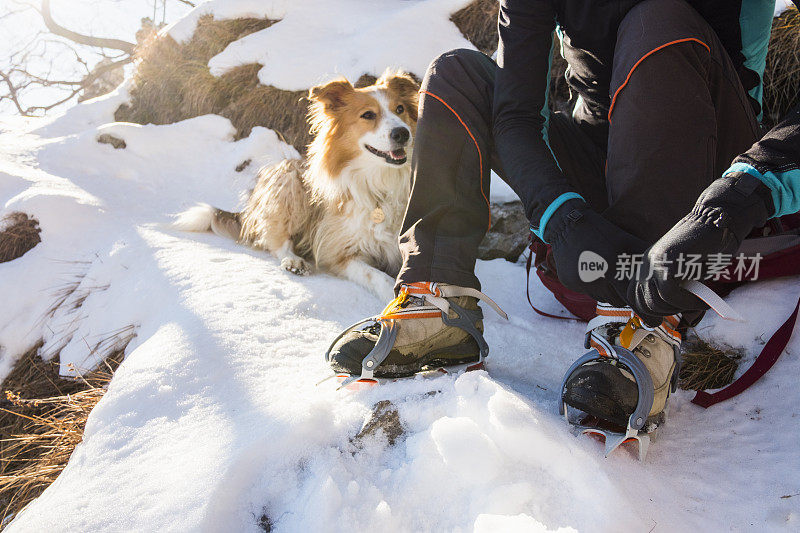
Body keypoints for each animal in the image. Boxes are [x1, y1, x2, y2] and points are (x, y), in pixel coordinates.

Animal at [173, 69, 418, 300]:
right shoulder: (338, 252)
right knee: (275, 240)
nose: (402, 133)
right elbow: (378, 276)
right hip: (288, 176)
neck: (382, 184)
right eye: (368, 115)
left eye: (400, 109)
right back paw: (293, 261)